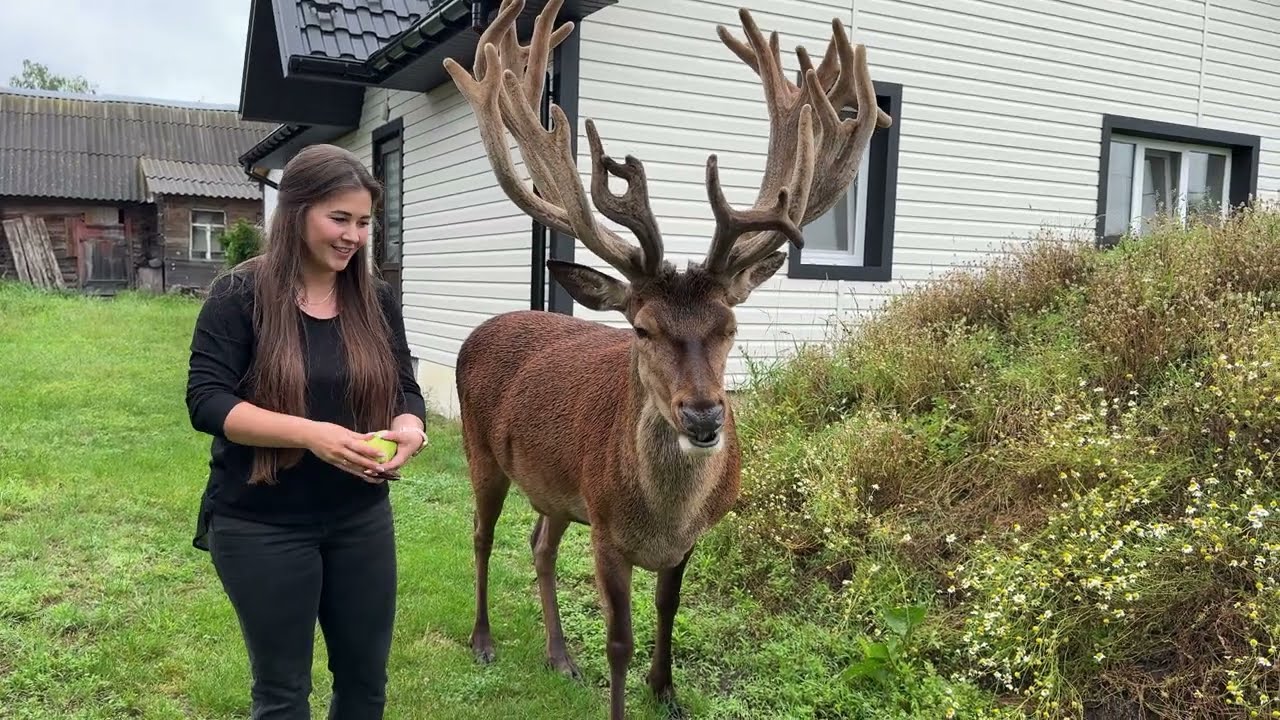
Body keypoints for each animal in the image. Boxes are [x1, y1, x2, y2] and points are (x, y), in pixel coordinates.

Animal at [442, 0, 891, 717]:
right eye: (643, 328)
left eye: (730, 325)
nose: (704, 415)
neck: (660, 517)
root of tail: (485, 326)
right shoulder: (604, 527)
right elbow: (618, 641)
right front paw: (624, 696)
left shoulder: (685, 540)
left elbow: (669, 610)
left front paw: (667, 691)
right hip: (480, 449)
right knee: (482, 536)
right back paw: (484, 640)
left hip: (553, 488)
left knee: (539, 546)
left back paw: (559, 656)